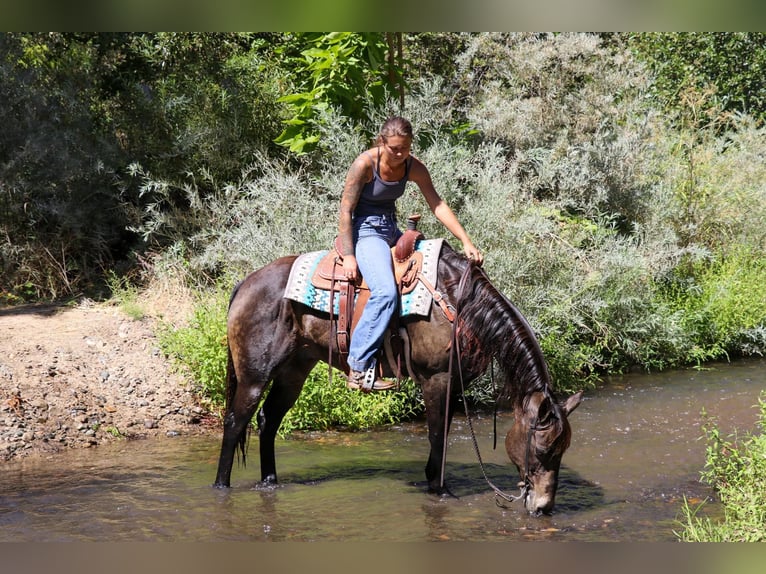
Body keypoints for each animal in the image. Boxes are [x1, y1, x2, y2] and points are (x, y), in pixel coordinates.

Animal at [213, 240, 582, 515]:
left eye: (564, 449)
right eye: (543, 448)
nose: (543, 507)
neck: (460, 304)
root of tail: (245, 283)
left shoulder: (455, 385)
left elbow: (442, 433)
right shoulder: (437, 379)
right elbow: (438, 435)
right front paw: (439, 489)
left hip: (295, 370)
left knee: (268, 420)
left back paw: (270, 481)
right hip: (254, 375)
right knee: (235, 421)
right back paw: (220, 486)